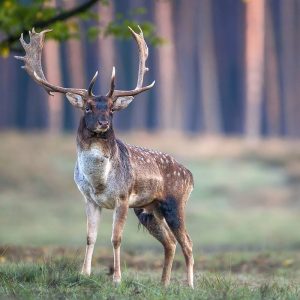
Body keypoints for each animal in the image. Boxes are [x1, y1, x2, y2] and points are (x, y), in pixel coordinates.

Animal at [15, 27, 195, 288]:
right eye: (88, 107)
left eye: (111, 108)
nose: (103, 123)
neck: (99, 181)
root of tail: (190, 176)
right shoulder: (89, 199)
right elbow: (90, 236)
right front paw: (84, 273)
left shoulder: (122, 198)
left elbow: (116, 238)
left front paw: (117, 278)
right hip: (148, 209)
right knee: (170, 242)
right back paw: (164, 284)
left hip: (174, 202)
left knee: (188, 243)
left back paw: (190, 285)